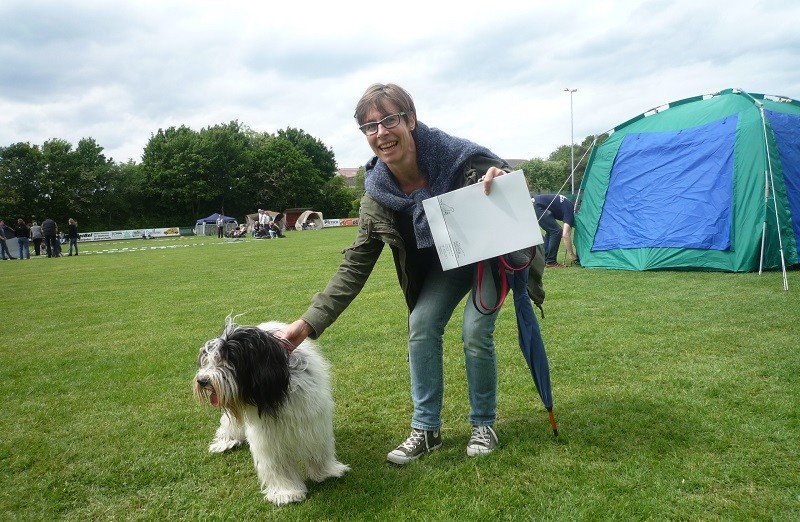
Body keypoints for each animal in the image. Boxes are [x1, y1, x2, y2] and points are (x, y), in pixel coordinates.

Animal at [195, 316, 350, 504]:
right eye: (210, 358)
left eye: (230, 358)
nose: (202, 380)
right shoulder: (267, 435)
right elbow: (277, 463)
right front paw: (287, 492)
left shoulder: (312, 420)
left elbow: (318, 448)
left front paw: (327, 472)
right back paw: (225, 441)